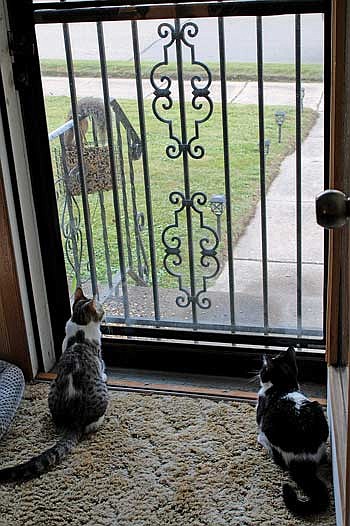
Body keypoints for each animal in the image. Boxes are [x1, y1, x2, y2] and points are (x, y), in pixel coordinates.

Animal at [0, 286, 108, 484]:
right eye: (101, 309)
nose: (105, 313)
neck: (80, 330)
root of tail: (74, 420)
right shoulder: (99, 354)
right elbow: (102, 365)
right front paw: (104, 375)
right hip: (102, 397)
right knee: (92, 424)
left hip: (52, 389)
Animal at [258, 348, 328, 516]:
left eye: (263, 370)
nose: (258, 373)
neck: (283, 386)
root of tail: (303, 461)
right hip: (318, 410)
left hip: (271, 429)